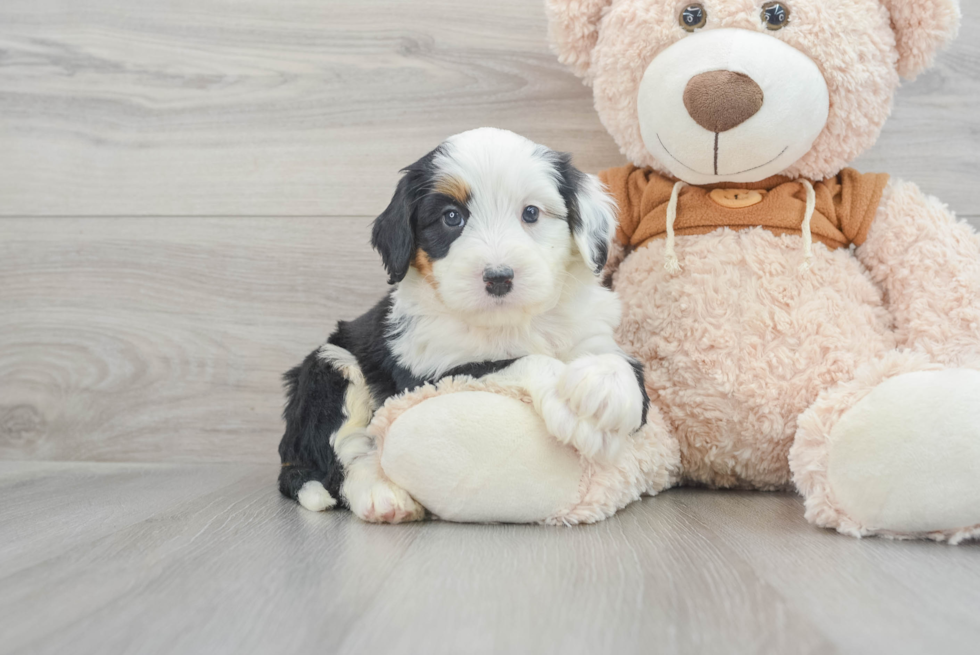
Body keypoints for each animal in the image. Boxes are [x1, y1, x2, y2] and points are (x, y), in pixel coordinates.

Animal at [276, 128, 652, 524]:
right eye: (451, 217)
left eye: (531, 213)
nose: (499, 277)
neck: (510, 322)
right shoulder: (430, 374)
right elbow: (515, 362)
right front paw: (573, 406)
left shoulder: (593, 334)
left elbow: (621, 365)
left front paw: (603, 394)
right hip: (329, 369)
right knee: (343, 457)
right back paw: (382, 496)